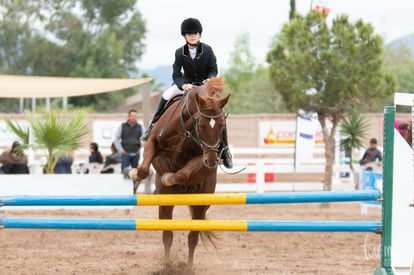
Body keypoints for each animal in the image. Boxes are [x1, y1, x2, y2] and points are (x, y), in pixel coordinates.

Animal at [133, 76, 230, 268]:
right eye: (201, 124)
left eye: (222, 125)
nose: (212, 161)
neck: (186, 128)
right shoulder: (154, 143)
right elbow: (144, 169)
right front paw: (135, 174)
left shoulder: (201, 157)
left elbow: (183, 174)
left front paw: (171, 178)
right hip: (166, 204)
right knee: (167, 234)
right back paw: (166, 264)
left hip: (201, 202)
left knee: (193, 237)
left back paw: (189, 267)